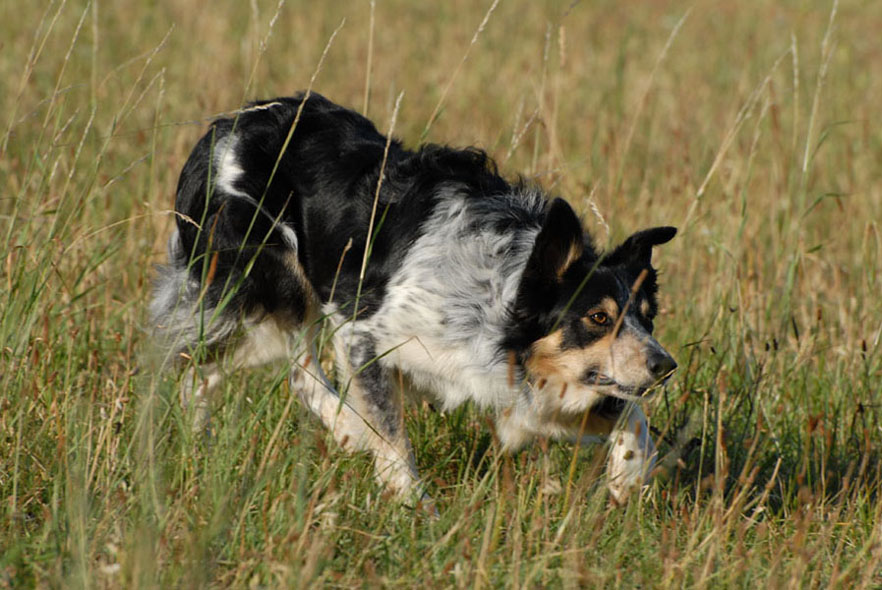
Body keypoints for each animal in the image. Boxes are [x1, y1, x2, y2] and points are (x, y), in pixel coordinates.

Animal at [151, 91, 676, 504]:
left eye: (648, 318)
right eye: (598, 317)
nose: (666, 366)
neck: (495, 294)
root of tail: (228, 126)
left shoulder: (531, 391)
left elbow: (632, 415)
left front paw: (628, 475)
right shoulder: (362, 335)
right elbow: (392, 437)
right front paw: (414, 507)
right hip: (269, 282)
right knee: (270, 365)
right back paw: (331, 429)